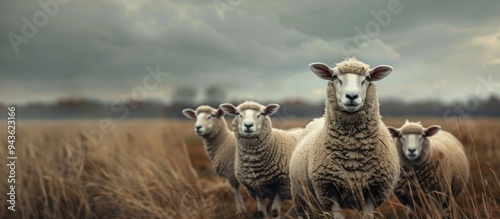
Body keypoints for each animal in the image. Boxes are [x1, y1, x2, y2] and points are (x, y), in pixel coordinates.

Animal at [288, 57, 400, 218]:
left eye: (367, 78)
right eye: (335, 77)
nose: (352, 96)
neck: (353, 152)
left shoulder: (373, 191)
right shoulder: (329, 189)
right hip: (301, 198)